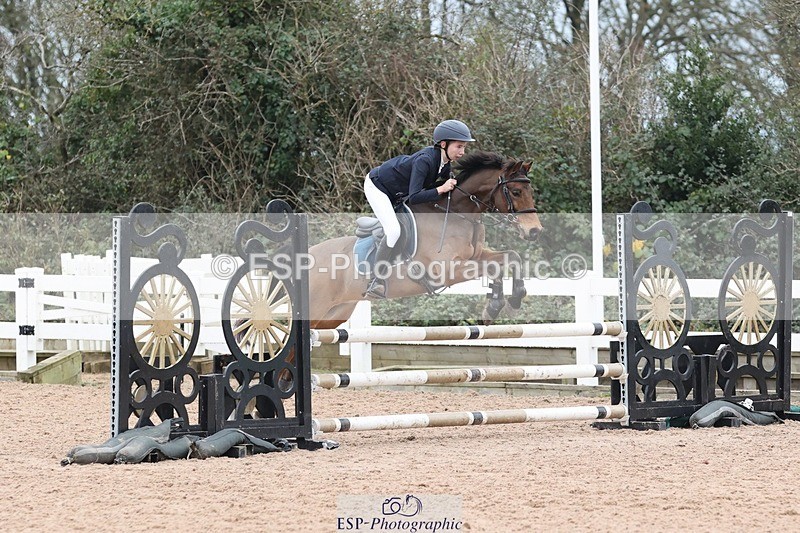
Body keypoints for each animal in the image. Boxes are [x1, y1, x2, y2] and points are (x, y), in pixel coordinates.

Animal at [307, 151, 543, 330]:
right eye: (515, 191)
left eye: (531, 191)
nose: (534, 231)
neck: (459, 214)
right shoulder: (447, 271)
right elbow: (495, 266)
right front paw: (495, 306)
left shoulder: (477, 256)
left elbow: (511, 257)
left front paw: (510, 301)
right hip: (316, 309)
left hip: (333, 314)